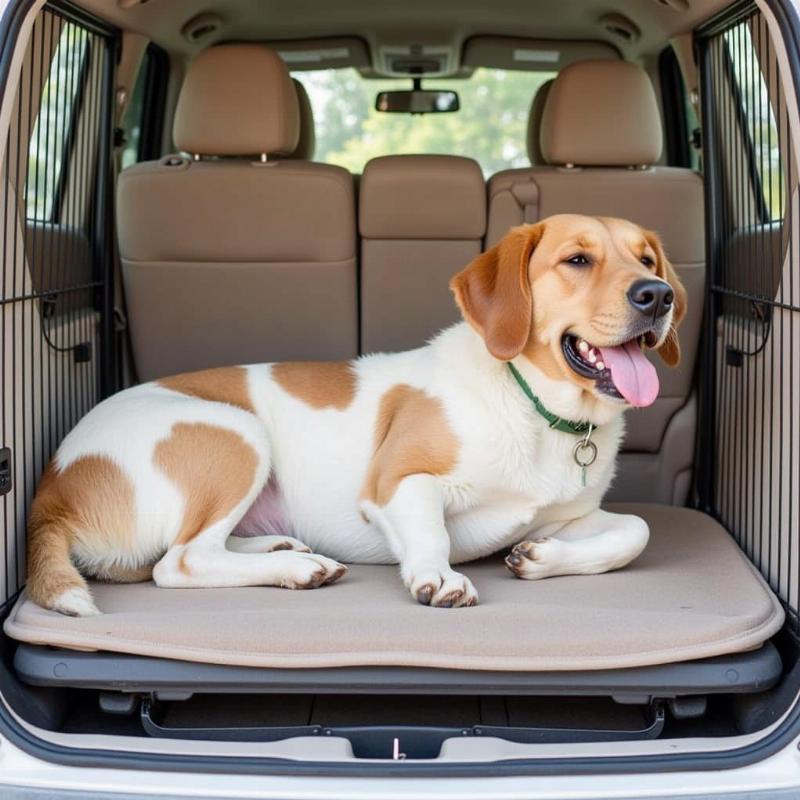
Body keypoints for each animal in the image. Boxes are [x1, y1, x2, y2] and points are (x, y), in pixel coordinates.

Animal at [26, 211, 688, 612]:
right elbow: (430, 532)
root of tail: (50, 492)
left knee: (196, 549)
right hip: (238, 433)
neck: (536, 410)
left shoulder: (571, 517)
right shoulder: (397, 482)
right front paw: (439, 575)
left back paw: (284, 552)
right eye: (577, 260)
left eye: (647, 260)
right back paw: (296, 571)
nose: (658, 296)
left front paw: (542, 558)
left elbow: (635, 530)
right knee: (180, 561)